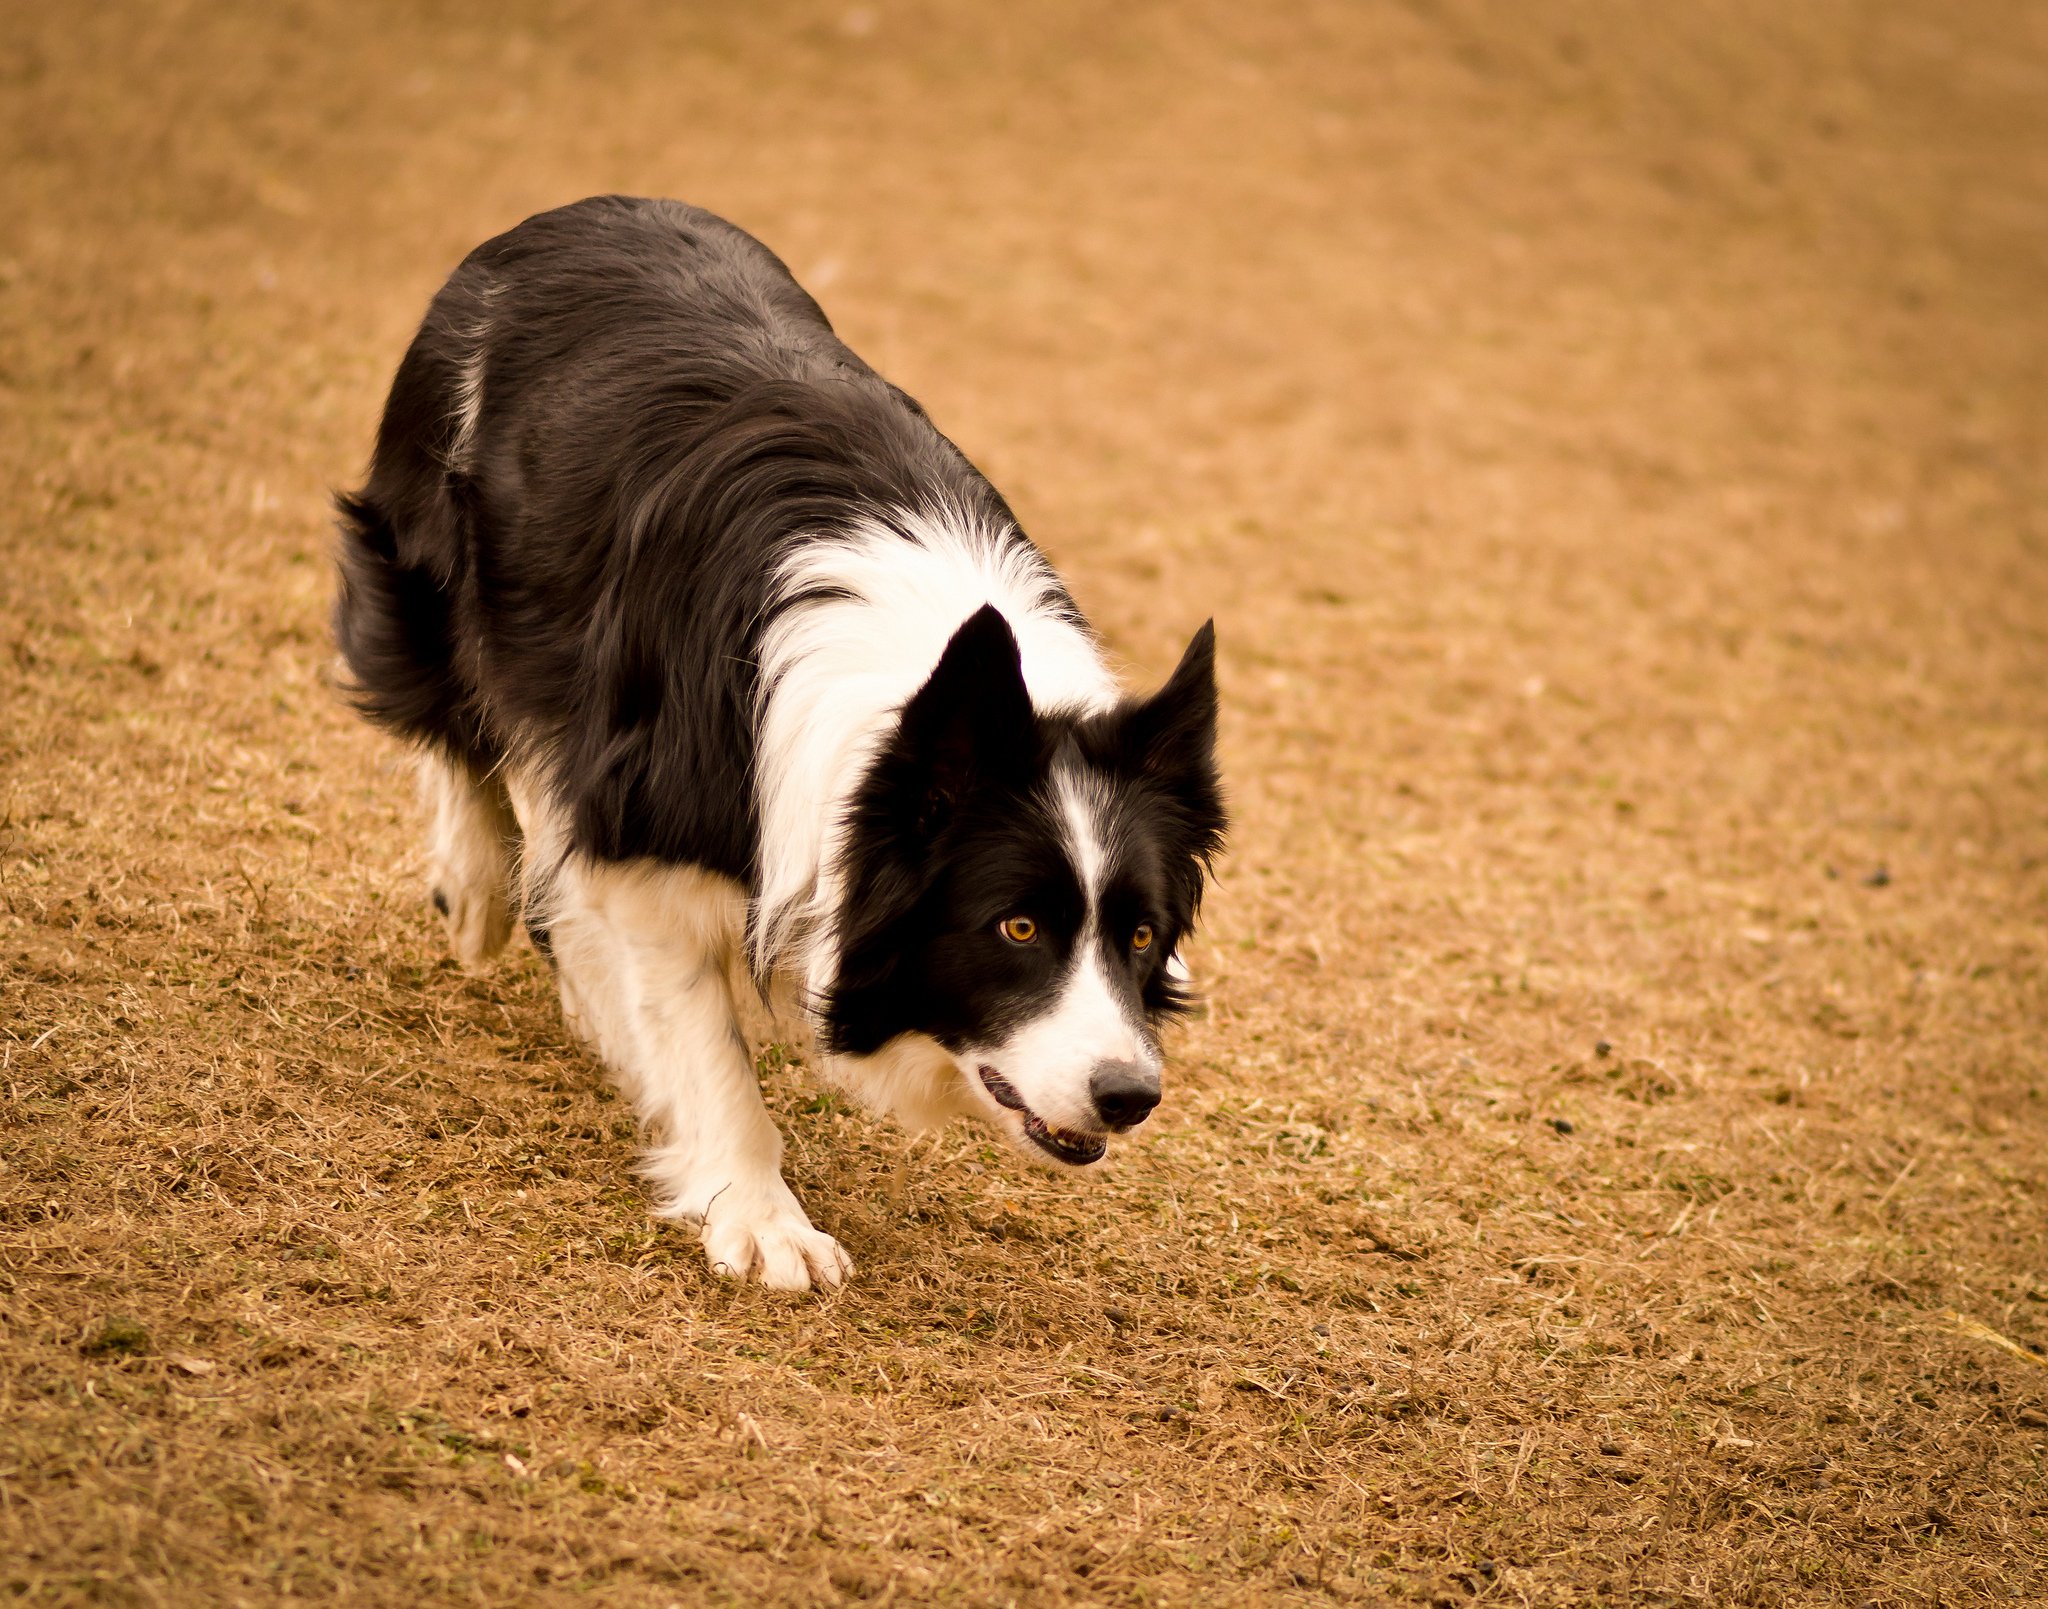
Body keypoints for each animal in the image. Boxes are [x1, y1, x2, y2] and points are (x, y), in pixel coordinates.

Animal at [337, 197, 1220, 1293]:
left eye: (1139, 935)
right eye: (1016, 927)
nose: (1130, 1094)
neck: (912, 681)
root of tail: (578, 212)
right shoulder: (645, 832)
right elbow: (705, 1039)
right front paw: (760, 1217)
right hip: (428, 568)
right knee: (454, 716)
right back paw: (476, 887)